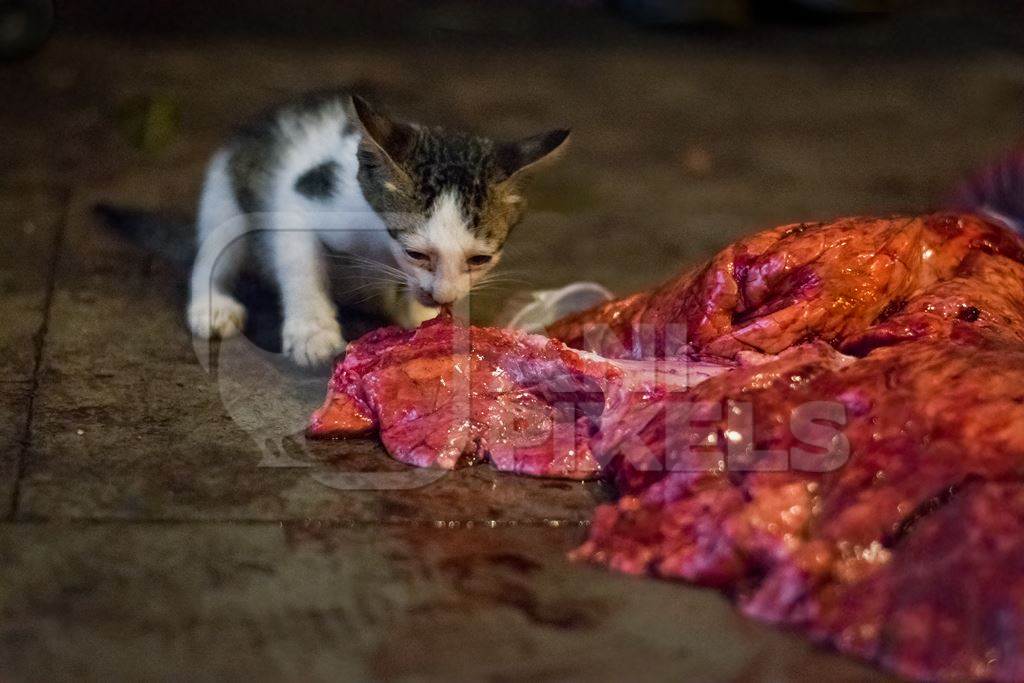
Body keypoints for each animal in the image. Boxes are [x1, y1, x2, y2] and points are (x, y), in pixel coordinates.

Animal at [189, 94, 573, 368]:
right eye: (415, 253)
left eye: (480, 259)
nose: (444, 296)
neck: (380, 245)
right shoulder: (304, 197)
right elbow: (299, 261)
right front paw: (313, 330)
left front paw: (423, 319)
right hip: (224, 190)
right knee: (218, 246)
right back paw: (212, 305)